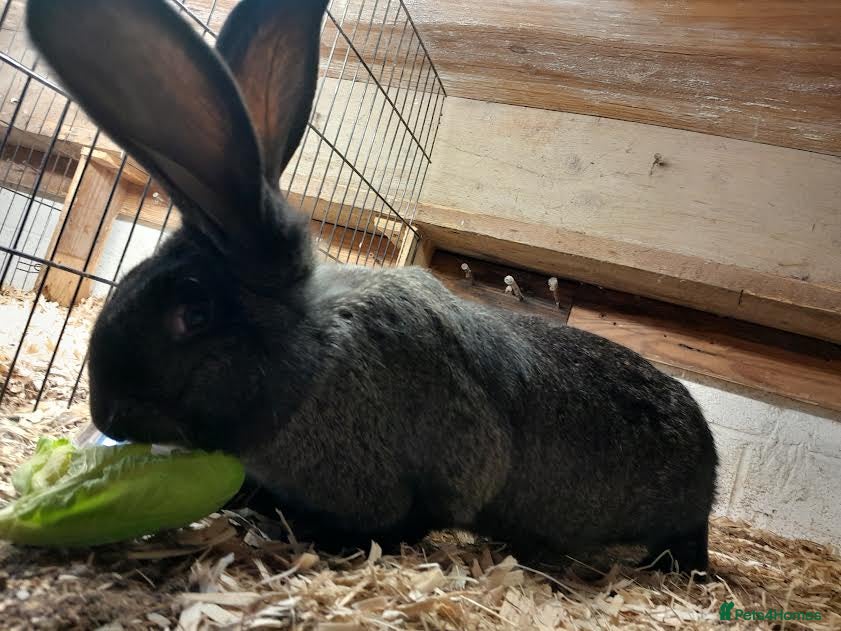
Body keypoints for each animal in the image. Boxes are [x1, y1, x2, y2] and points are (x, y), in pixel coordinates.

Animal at [27, 0, 717, 574]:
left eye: (192, 315)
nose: (105, 413)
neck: (314, 355)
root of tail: (709, 459)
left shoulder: (444, 471)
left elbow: (416, 518)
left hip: (674, 518)